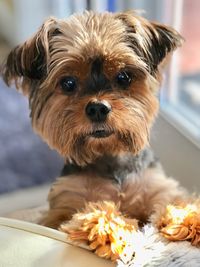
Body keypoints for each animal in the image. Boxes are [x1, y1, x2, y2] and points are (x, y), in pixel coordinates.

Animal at [2, 11, 189, 230]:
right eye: (68, 83)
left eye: (124, 77)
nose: (97, 108)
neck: (109, 157)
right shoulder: (67, 200)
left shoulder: (157, 189)